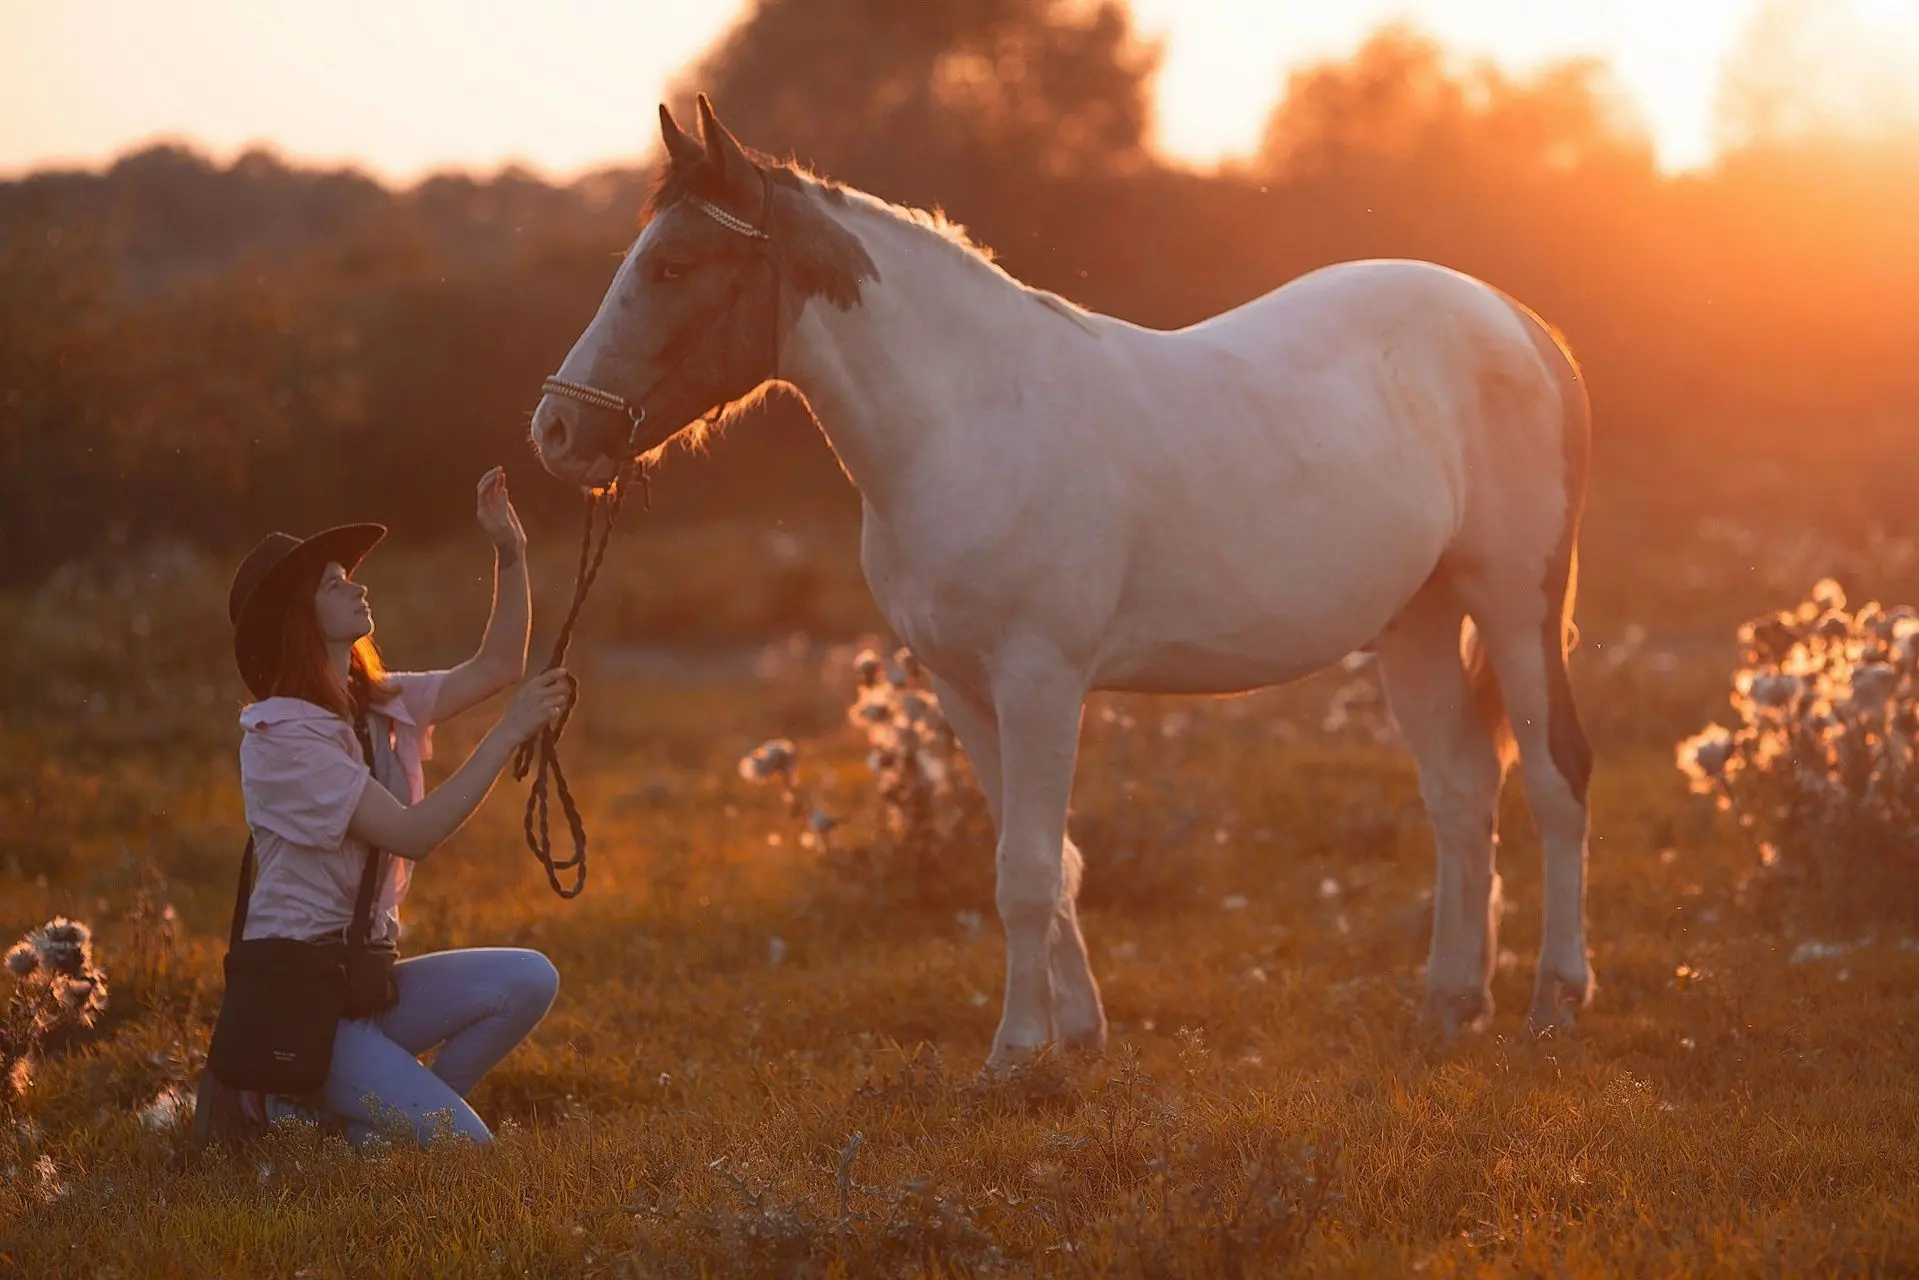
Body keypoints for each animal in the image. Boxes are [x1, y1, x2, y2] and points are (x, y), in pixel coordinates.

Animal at [529, 95, 1597, 1070]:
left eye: (672, 267)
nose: (558, 432)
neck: (967, 422)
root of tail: (1520, 323)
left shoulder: (1039, 681)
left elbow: (1028, 871)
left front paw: (1014, 1054)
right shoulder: (963, 687)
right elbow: (1045, 863)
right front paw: (1073, 1037)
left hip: (1514, 605)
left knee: (1555, 779)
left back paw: (1552, 1004)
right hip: (1417, 620)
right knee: (1460, 792)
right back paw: (1450, 1004)